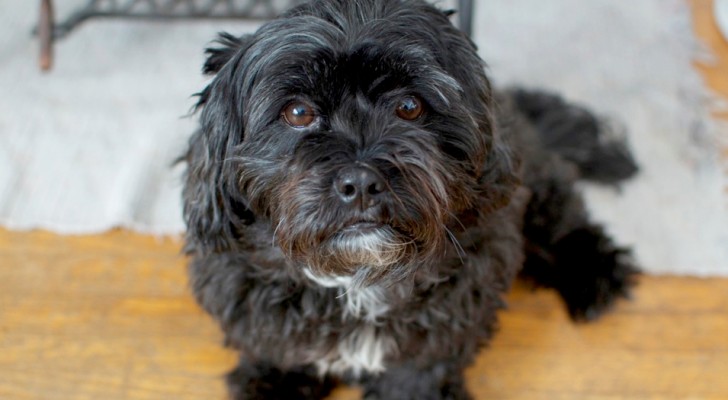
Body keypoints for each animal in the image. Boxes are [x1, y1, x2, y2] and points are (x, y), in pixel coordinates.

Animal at [182, 1, 636, 398]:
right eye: (297, 113)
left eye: (409, 105)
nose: (361, 182)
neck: (356, 280)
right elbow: (279, 353)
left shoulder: (438, 333)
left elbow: (418, 375)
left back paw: (595, 272)